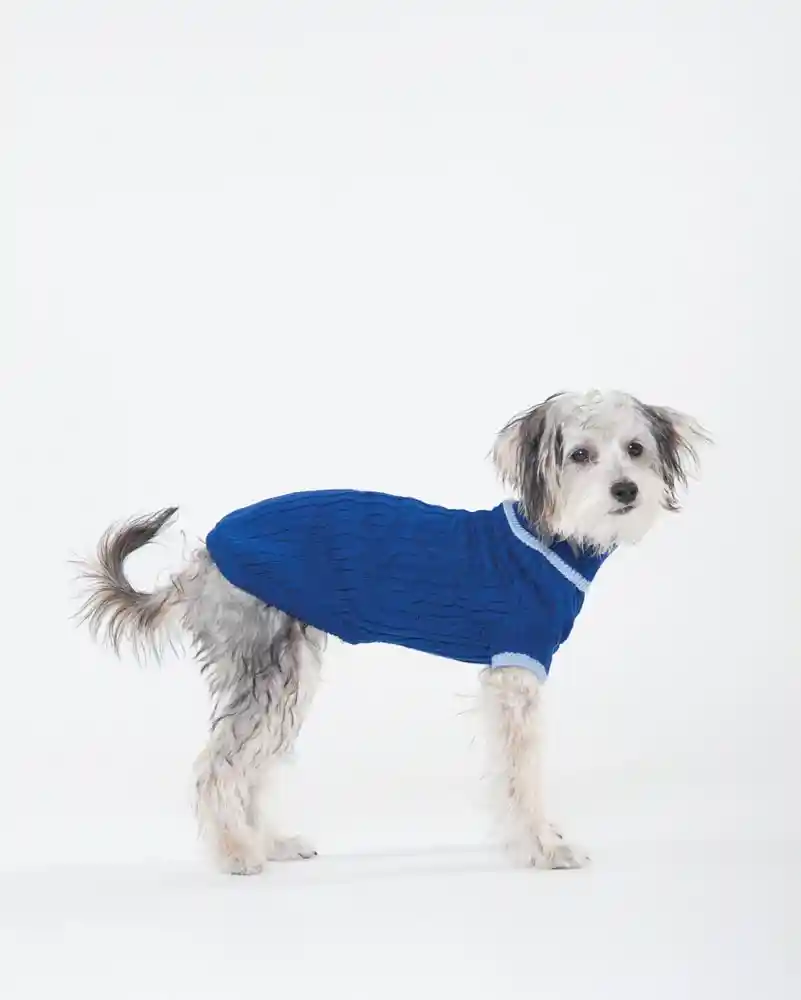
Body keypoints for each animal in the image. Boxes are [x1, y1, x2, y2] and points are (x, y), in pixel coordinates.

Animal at [76, 389, 707, 874]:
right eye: (580, 454)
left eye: (635, 449)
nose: (626, 490)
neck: (548, 539)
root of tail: (203, 555)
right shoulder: (515, 676)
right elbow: (521, 774)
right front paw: (543, 848)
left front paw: (543, 839)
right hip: (268, 671)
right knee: (217, 767)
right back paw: (235, 853)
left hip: (290, 676)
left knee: (249, 765)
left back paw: (267, 841)